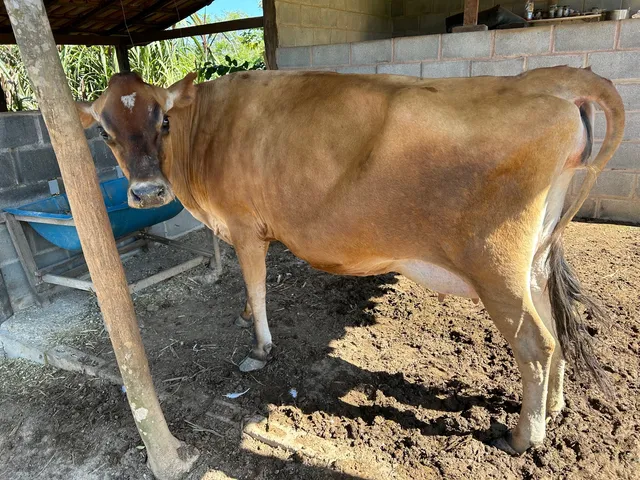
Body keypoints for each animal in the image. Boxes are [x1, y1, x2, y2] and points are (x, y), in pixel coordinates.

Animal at [76, 66, 624, 455]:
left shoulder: (245, 227)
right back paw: (555, 407)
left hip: (496, 268)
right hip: (533, 262)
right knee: (555, 331)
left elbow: (255, 285)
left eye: (163, 120)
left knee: (535, 343)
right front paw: (245, 318)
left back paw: (522, 438)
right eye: (104, 132)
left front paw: (260, 346)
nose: (148, 192)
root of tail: (544, 82)